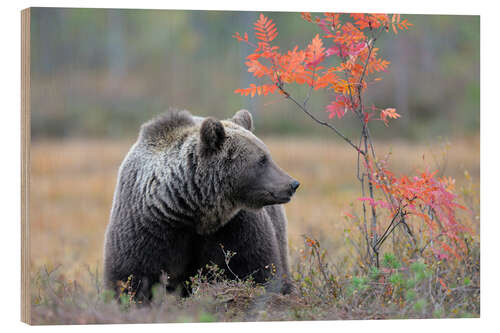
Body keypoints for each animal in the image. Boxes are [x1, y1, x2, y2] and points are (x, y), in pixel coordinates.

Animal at [101, 108, 296, 298]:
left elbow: (254, 266)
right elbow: (133, 277)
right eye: (262, 160)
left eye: (267, 155)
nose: (292, 184)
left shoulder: (234, 225)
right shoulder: (148, 229)